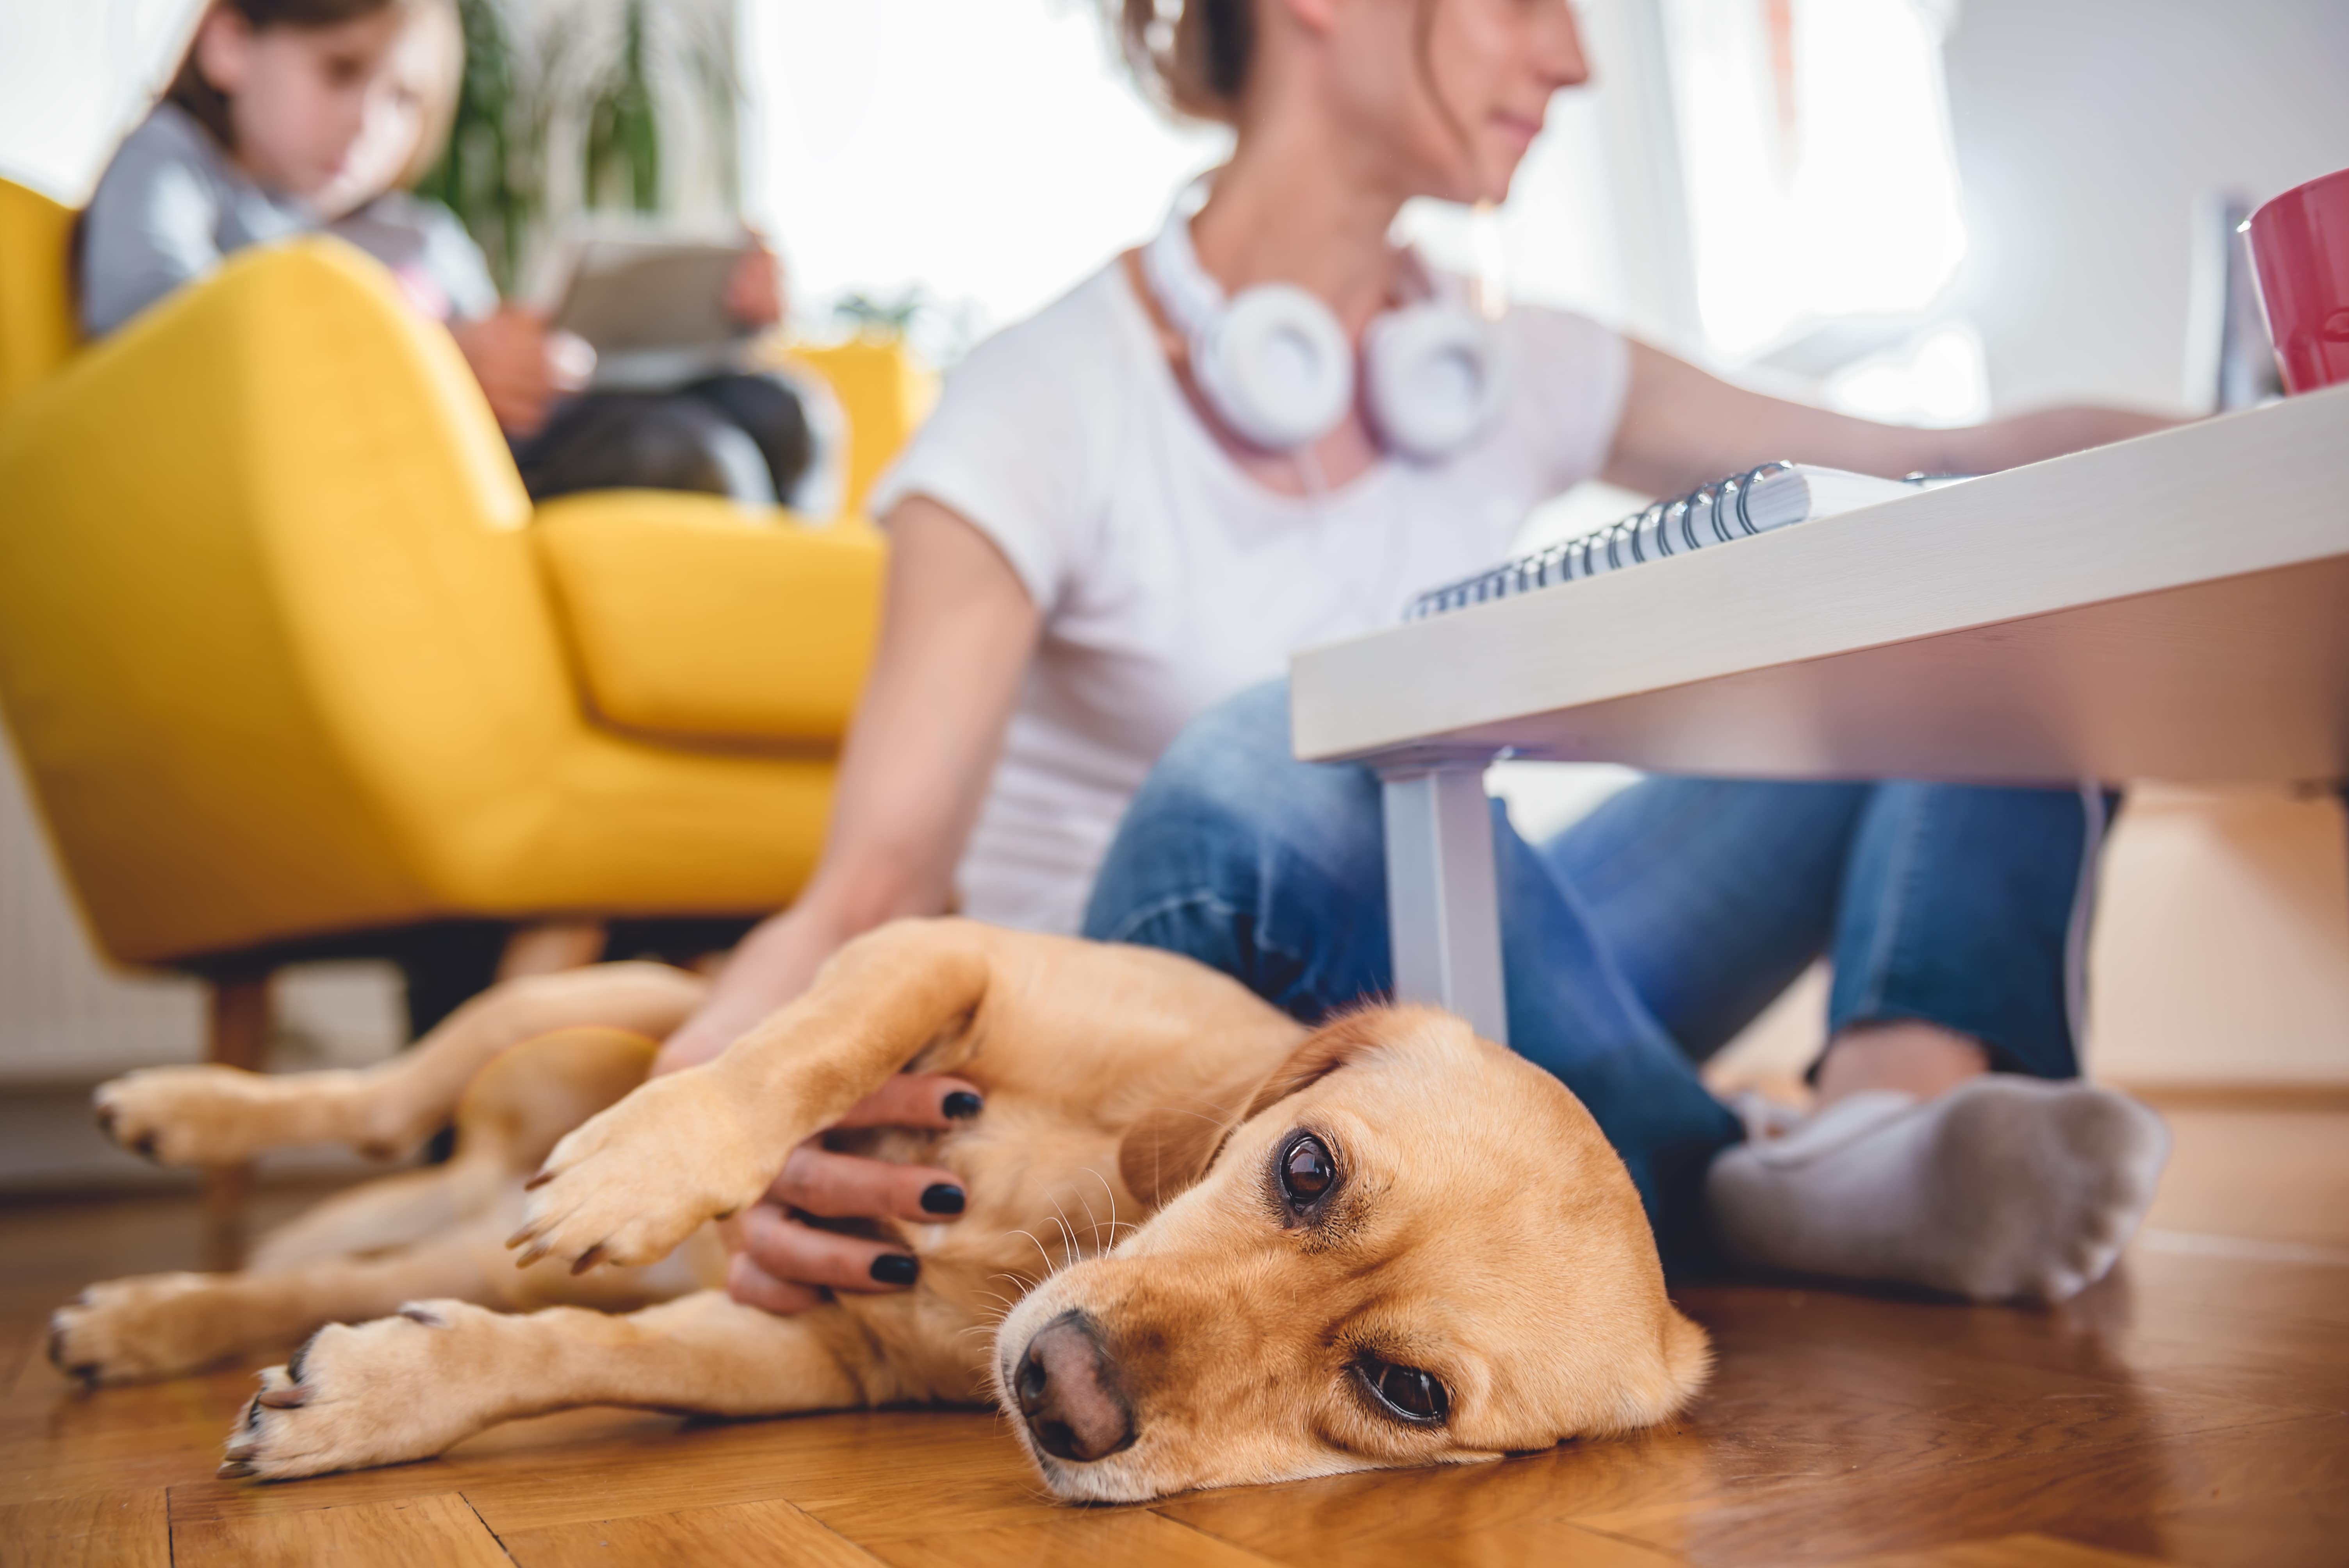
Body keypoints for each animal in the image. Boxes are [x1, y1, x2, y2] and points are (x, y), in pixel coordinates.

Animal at [55, 920, 1710, 1502]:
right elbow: (803, 1055)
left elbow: (569, 1355)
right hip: (598, 994)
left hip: (483, 1226)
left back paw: (138, 1322)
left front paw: (370, 1400)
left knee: (315, 1279)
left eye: (1404, 1390)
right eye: (1303, 1167)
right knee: (377, 1098)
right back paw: (183, 1107)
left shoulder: (792, 1350)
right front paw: (647, 1169)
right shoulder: (938, 951)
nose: (1060, 1389)